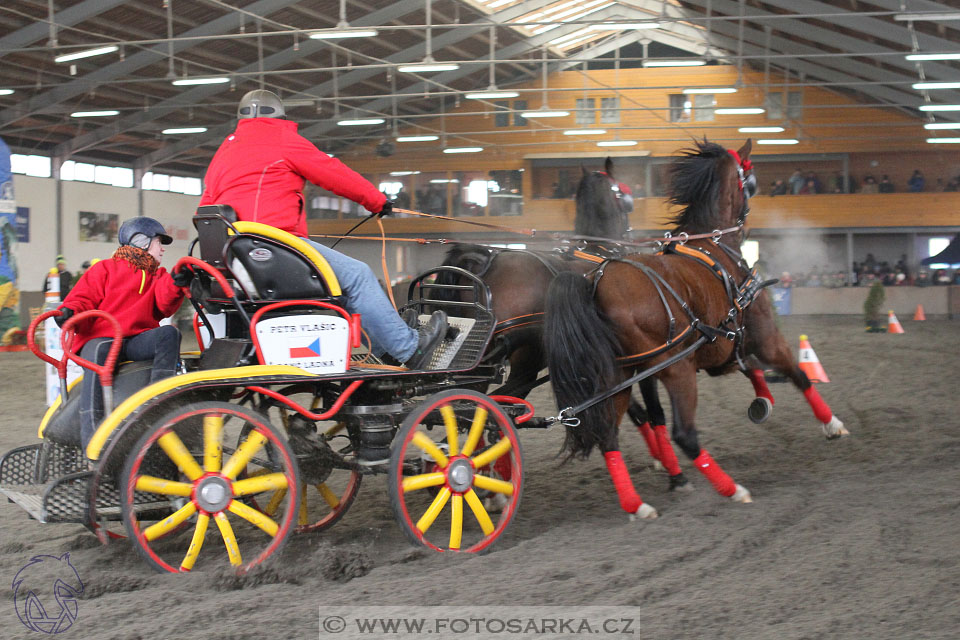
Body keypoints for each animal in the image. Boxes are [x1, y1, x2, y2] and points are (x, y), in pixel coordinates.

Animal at [540, 140, 848, 520]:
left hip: (615, 377)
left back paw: (637, 503)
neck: (716, 246)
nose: (749, 215)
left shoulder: (724, 341)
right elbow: (798, 374)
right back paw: (730, 489)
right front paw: (831, 423)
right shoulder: (765, 336)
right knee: (683, 433)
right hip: (675, 369)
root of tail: (593, 281)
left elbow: (751, 368)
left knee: (608, 433)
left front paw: (764, 399)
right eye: (750, 179)